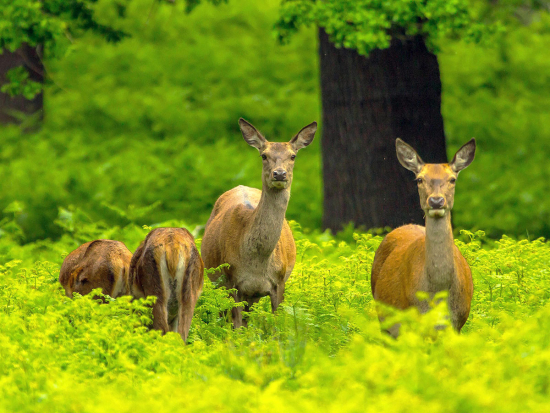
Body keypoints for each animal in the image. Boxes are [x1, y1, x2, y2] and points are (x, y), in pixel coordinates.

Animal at [201, 117, 316, 326]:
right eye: (264, 155)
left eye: (293, 156)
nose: (279, 174)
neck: (257, 264)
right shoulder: (232, 282)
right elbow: (236, 326)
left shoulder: (279, 282)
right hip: (217, 283)